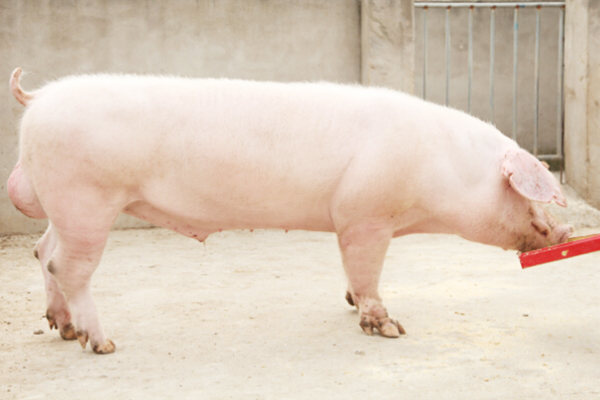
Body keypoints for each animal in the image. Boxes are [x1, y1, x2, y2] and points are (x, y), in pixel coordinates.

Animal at [7, 67, 572, 354]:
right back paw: (101, 343)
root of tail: (36, 100)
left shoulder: (354, 220)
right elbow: (367, 272)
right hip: (86, 197)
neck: (444, 170)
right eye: (529, 191)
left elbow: (351, 272)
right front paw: (390, 329)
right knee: (68, 266)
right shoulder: (365, 216)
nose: (567, 230)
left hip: (65, 205)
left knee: (42, 251)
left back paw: (63, 329)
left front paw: (349, 303)